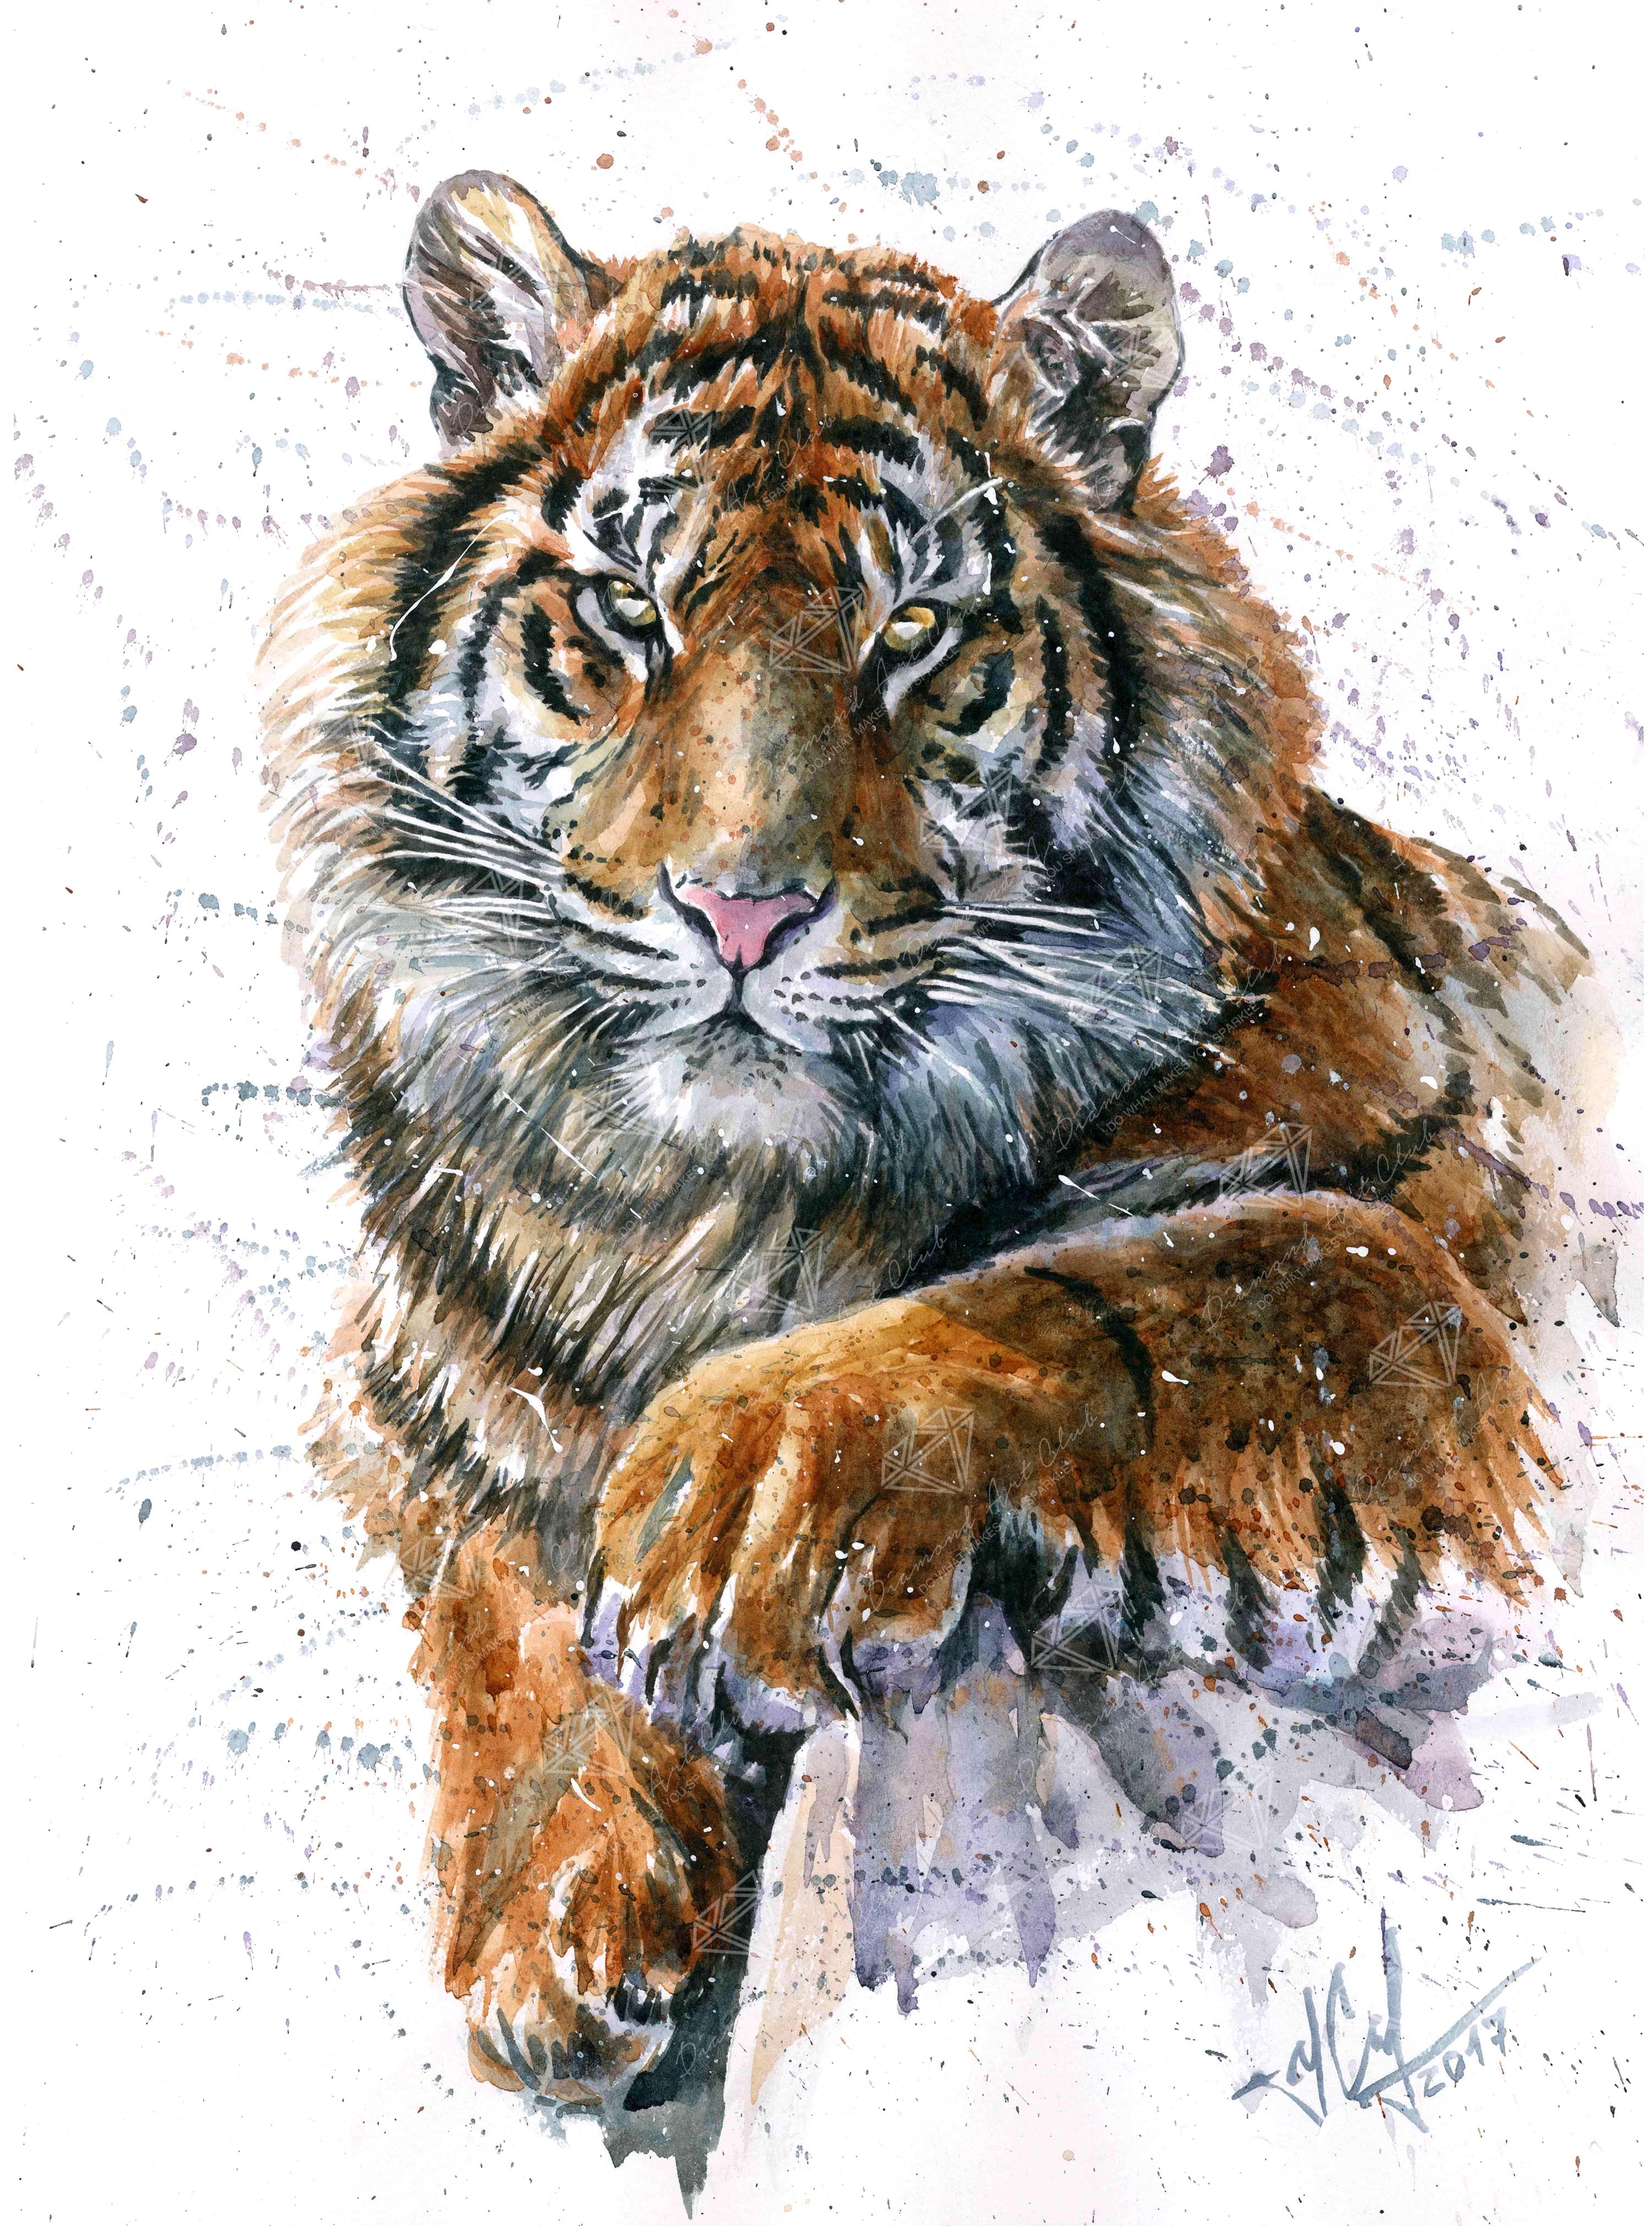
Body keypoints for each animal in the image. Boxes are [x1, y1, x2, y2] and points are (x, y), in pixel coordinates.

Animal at [261, 170, 1595, 2163]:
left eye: (912, 637)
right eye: (628, 613)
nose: (739, 910)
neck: (721, 1206)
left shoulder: (1440, 1255)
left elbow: (1133, 1288)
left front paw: (736, 1496)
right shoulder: (426, 1395)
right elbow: (498, 1585)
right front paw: (555, 1923)